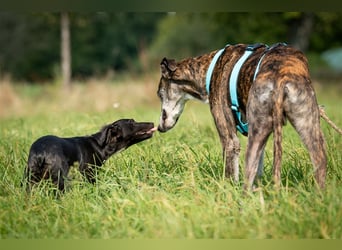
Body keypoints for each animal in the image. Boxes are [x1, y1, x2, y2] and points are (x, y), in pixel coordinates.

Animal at [23, 119, 156, 191]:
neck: (100, 145)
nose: (152, 123)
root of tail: (40, 153)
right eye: (131, 122)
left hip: (29, 179)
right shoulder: (89, 175)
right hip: (60, 179)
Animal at [158, 44, 328, 190]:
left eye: (159, 94)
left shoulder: (230, 141)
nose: (159, 127)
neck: (207, 69)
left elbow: (230, 174)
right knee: (319, 162)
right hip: (306, 126)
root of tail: (281, 78)